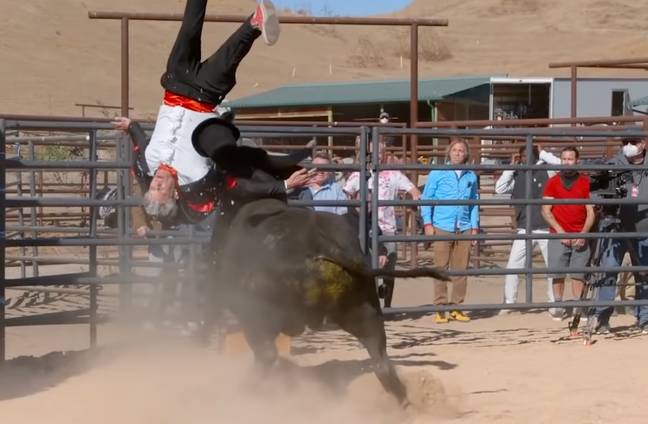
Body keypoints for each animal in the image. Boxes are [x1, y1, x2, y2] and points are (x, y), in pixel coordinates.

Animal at [213, 199, 446, 404]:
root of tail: (317, 240)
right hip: (364, 312)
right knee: (381, 361)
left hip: (257, 317)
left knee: (266, 354)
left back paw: (246, 390)